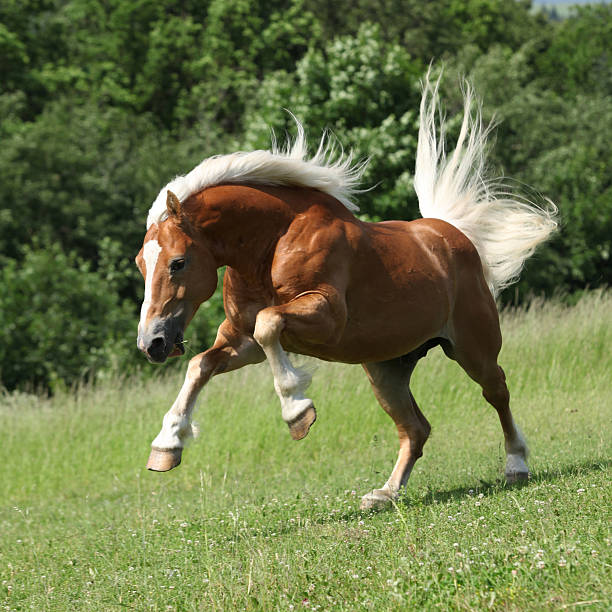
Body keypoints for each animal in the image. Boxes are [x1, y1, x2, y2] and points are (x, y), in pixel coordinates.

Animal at [136, 79, 556, 510]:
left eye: (178, 262)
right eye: (140, 264)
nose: (152, 342)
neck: (272, 243)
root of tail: (451, 233)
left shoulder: (324, 317)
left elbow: (269, 325)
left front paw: (297, 412)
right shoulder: (241, 342)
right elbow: (200, 365)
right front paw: (166, 445)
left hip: (473, 349)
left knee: (497, 392)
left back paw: (516, 466)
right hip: (386, 370)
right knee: (415, 429)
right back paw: (385, 494)